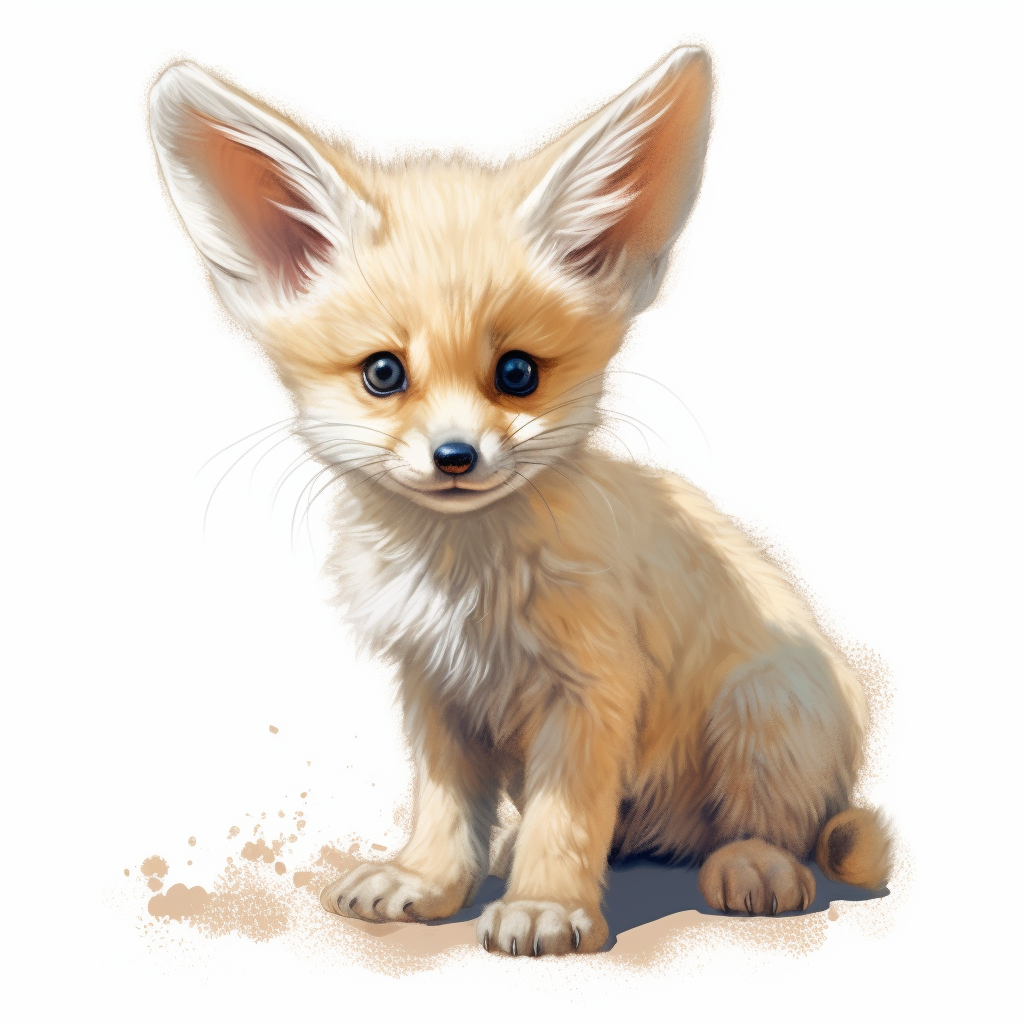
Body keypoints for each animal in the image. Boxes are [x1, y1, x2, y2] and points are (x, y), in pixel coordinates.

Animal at [148, 46, 891, 956]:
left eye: (517, 374)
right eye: (383, 373)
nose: (456, 457)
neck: (464, 579)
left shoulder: (592, 688)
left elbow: (563, 820)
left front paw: (545, 905)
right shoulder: (435, 688)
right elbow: (443, 808)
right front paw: (429, 881)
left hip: (764, 702)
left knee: (778, 824)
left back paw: (752, 863)